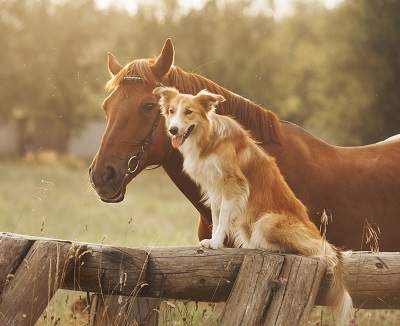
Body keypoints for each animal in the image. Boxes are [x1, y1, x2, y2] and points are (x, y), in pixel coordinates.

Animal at [153, 86, 354, 324]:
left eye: (189, 112)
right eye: (171, 111)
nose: (173, 130)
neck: (208, 138)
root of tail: (316, 234)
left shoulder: (233, 185)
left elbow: (222, 218)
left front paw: (216, 243)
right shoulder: (214, 189)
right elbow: (216, 216)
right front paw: (213, 240)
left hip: (267, 221)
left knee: (307, 249)